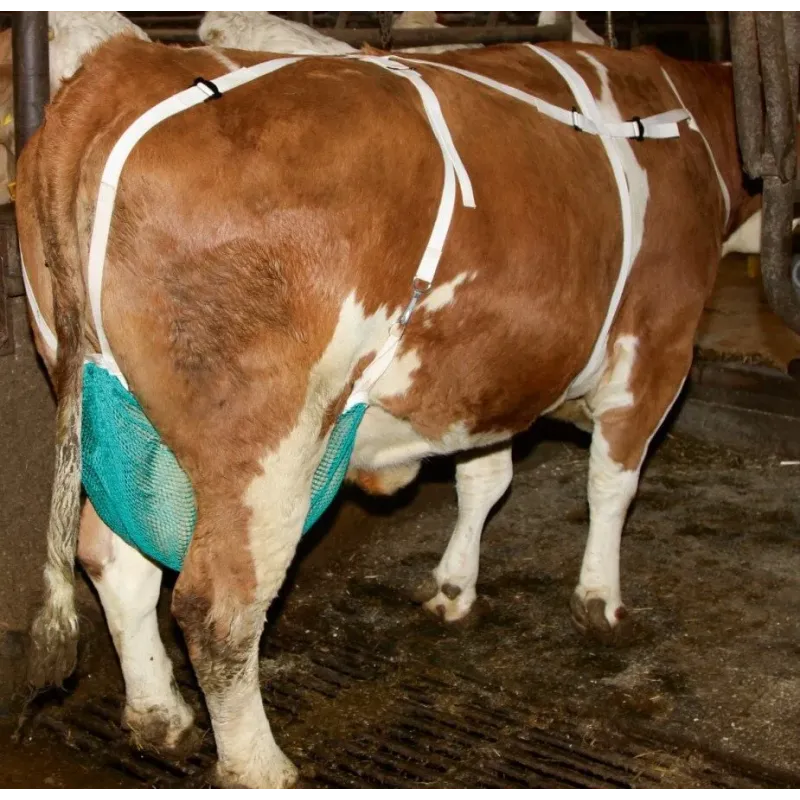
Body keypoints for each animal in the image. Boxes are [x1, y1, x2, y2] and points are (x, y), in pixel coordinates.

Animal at [18, 36, 777, 790]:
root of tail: (122, 67)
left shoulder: (481, 376)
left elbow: (483, 480)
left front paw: (453, 587)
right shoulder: (656, 351)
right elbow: (611, 485)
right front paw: (601, 603)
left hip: (111, 413)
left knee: (114, 557)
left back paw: (161, 717)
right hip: (266, 446)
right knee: (219, 604)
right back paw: (261, 767)